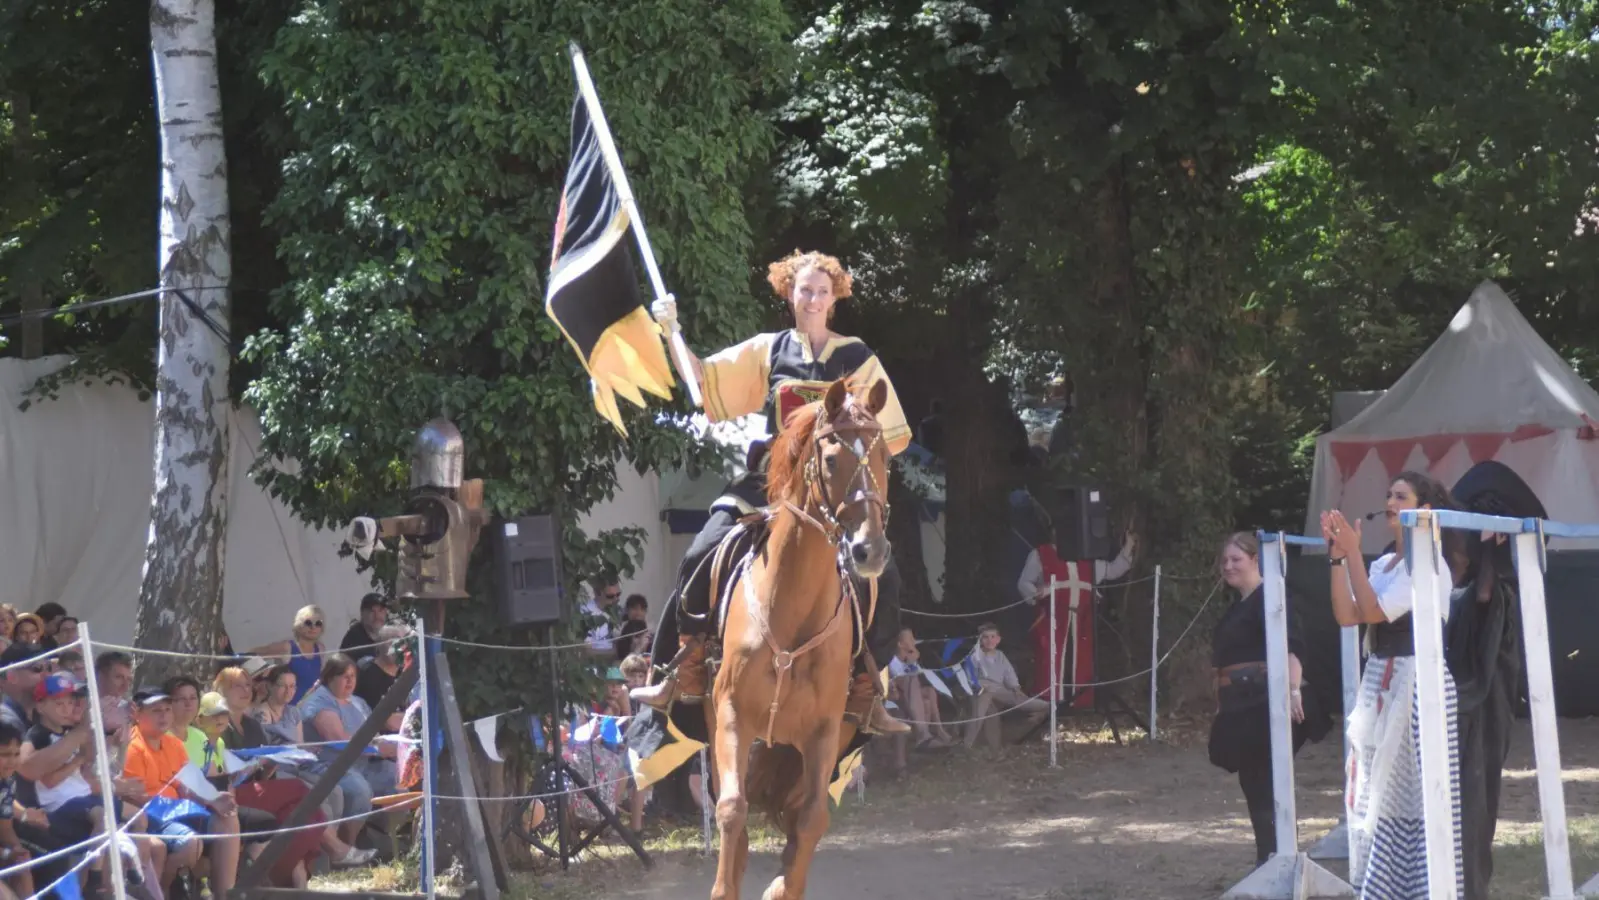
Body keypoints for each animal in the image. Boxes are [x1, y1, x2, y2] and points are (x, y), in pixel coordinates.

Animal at [706, 377, 895, 895]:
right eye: (830, 460)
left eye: (885, 457)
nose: (869, 550)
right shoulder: (731, 715)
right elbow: (731, 810)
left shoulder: (824, 733)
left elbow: (811, 821)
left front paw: (781, 888)